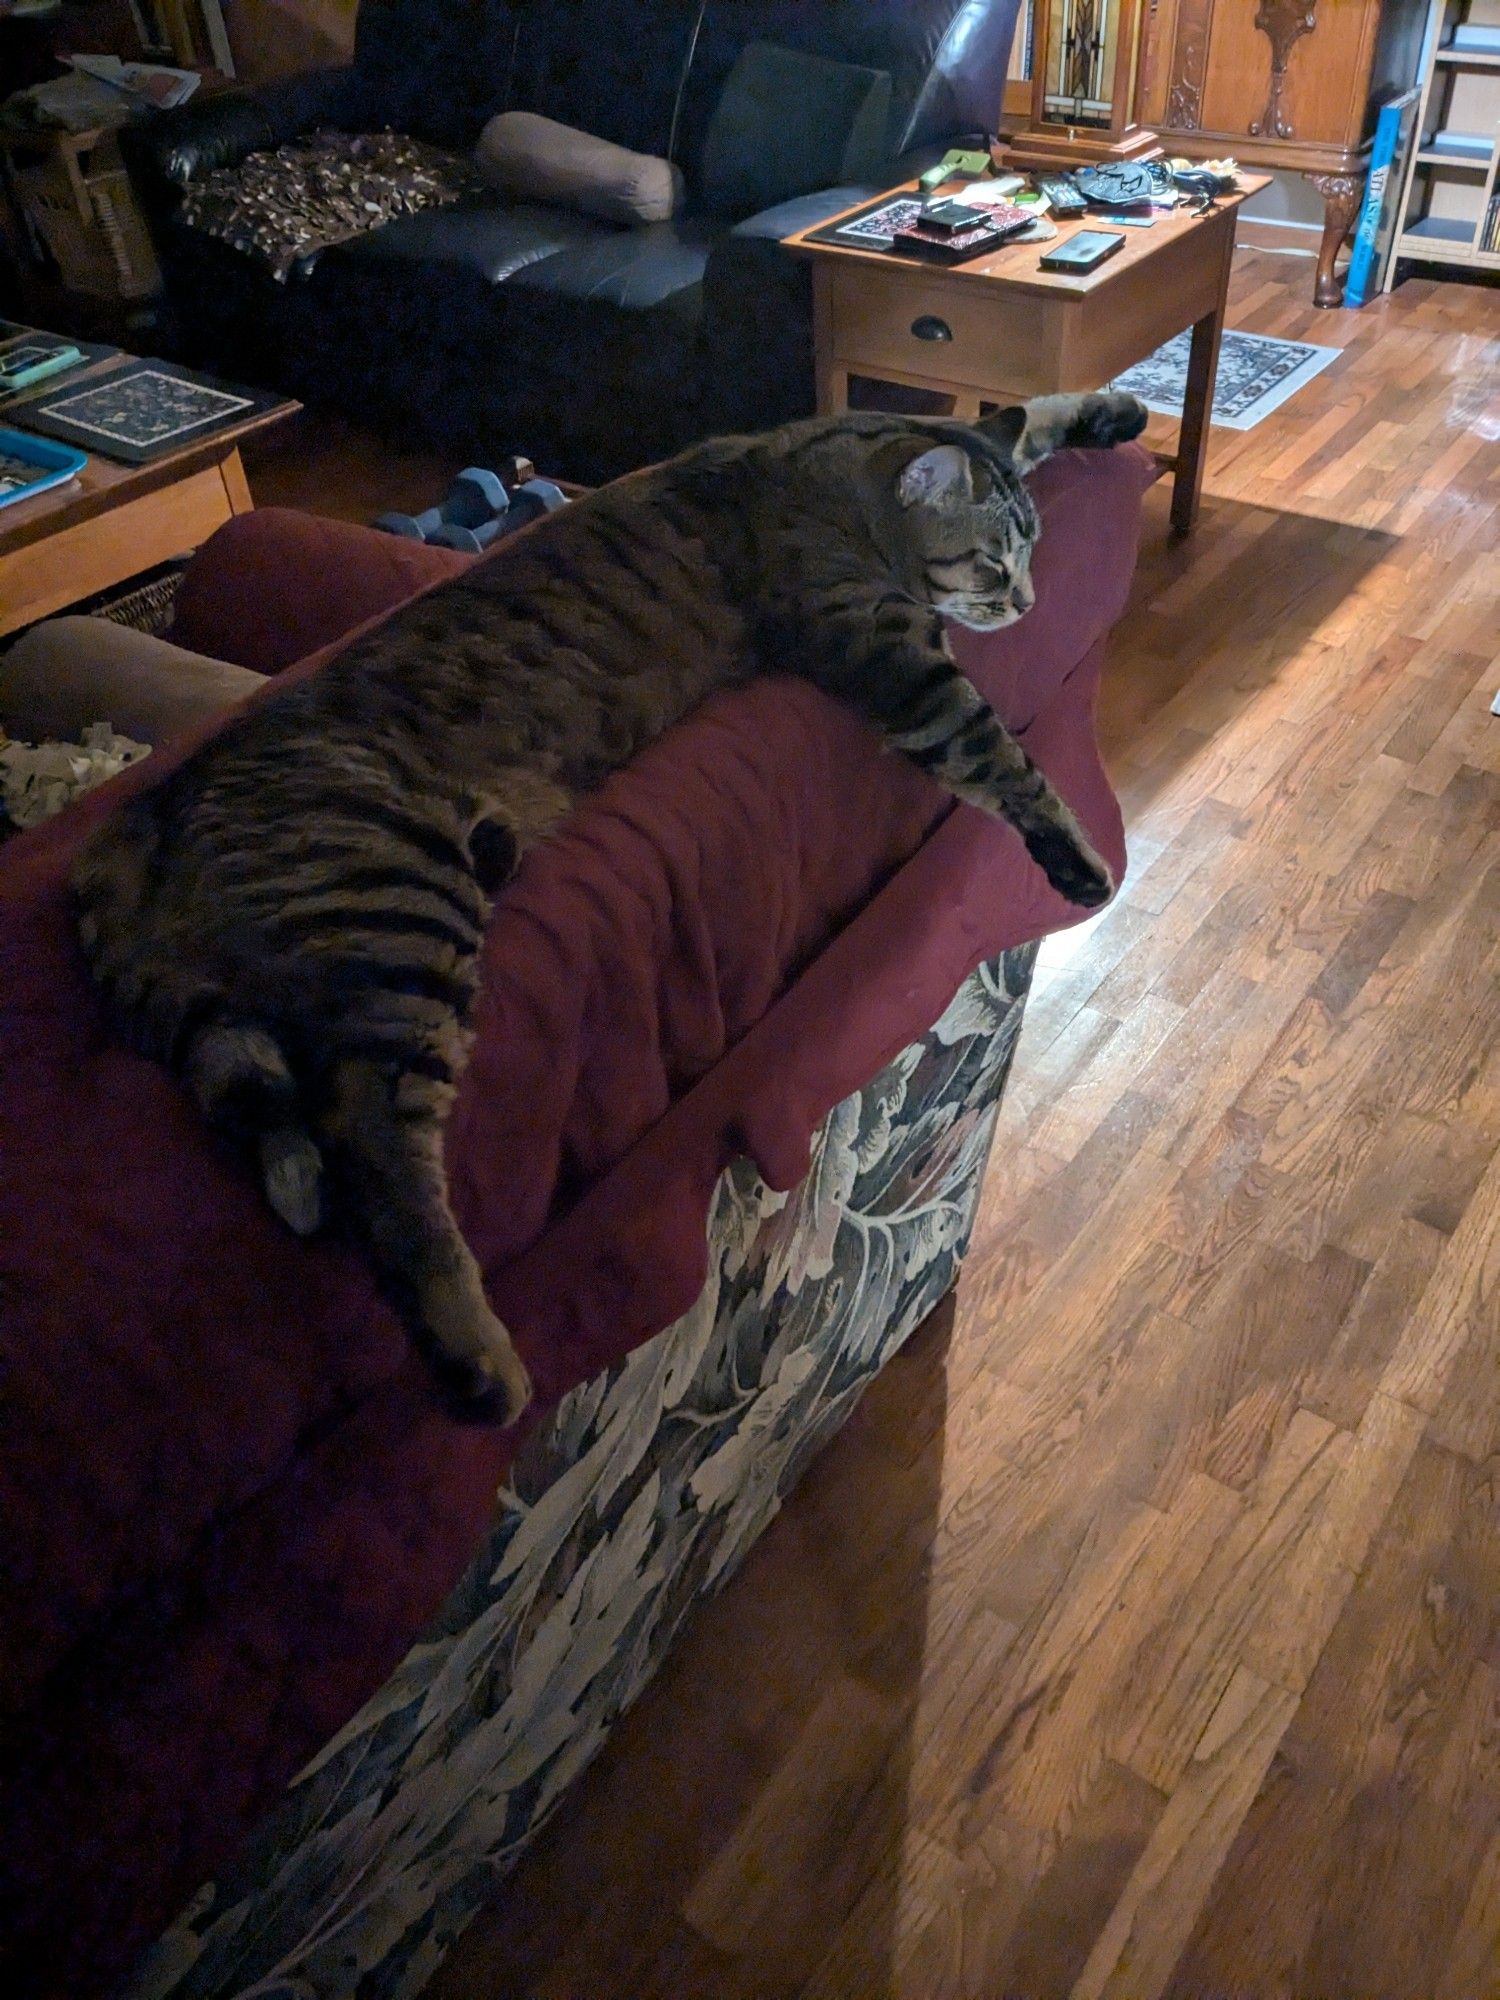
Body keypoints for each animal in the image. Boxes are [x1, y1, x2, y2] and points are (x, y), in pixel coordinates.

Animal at [73, 390, 1152, 1424]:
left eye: (1033, 552)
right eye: (994, 561)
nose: (1029, 599)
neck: (827, 466)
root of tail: (140, 828)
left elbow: (1023, 411)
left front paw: (1112, 412)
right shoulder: (894, 658)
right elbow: (1004, 759)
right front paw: (1079, 856)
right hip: (401, 923)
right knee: (376, 1154)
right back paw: (480, 1355)